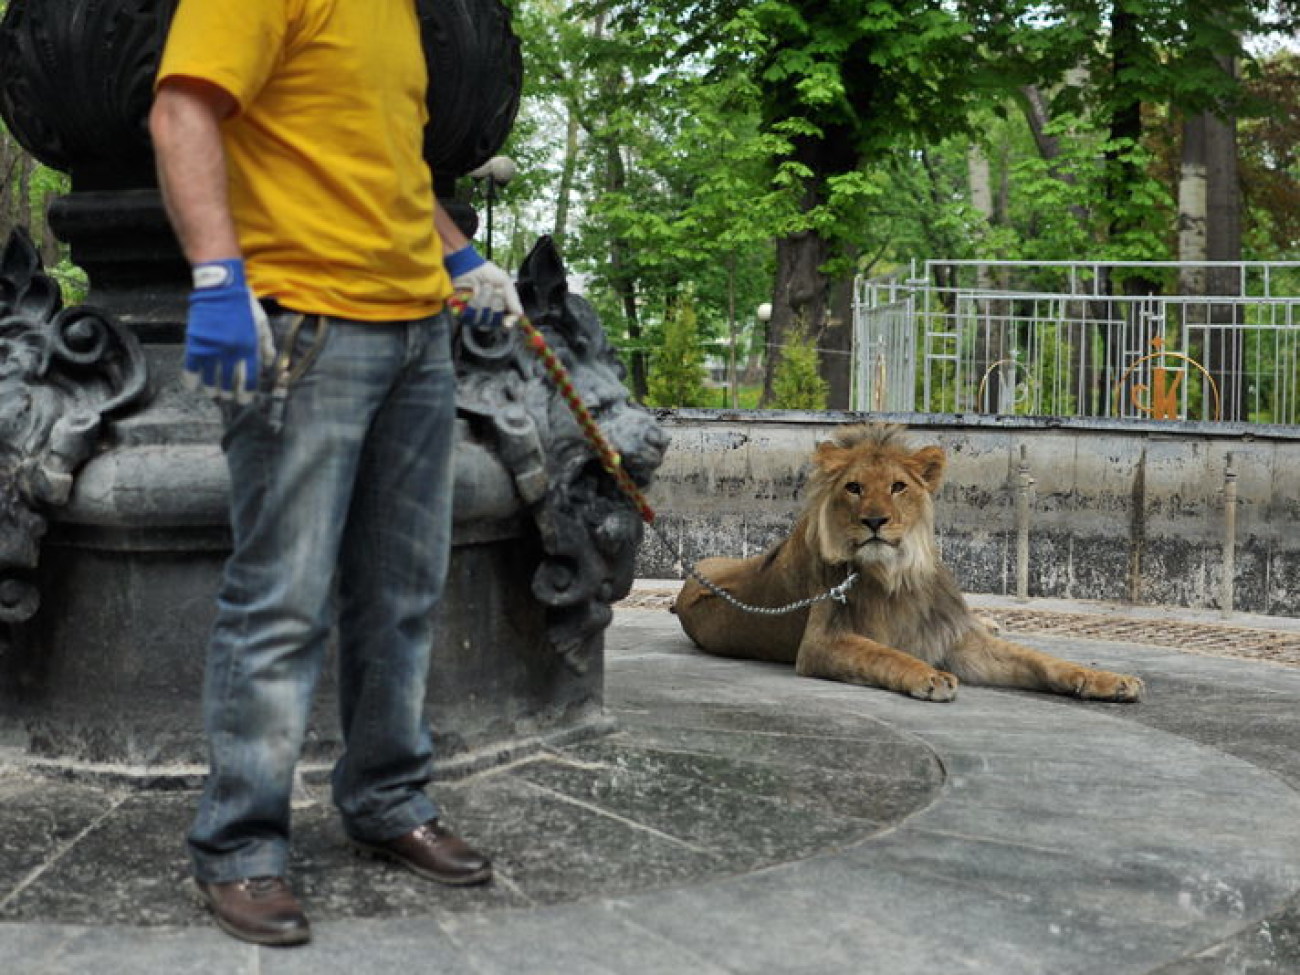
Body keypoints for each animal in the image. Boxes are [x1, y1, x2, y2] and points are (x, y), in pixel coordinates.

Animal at [676, 423, 1144, 707]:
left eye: (898, 487)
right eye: (854, 488)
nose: (875, 521)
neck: (894, 574)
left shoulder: (957, 637)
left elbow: (1042, 660)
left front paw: (1111, 680)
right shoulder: (822, 643)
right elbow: (884, 653)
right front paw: (930, 675)